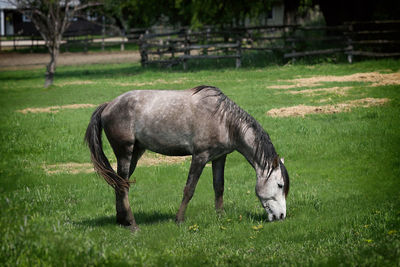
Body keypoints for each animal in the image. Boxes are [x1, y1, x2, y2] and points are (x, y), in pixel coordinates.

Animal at [85, 86, 290, 232]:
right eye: (280, 185)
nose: (281, 216)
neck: (223, 120)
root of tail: (108, 105)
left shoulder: (219, 158)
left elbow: (219, 187)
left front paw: (220, 216)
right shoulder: (199, 157)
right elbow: (189, 189)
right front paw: (179, 220)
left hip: (135, 152)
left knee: (120, 184)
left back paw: (122, 221)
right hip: (125, 153)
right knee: (123, 185)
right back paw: (133, 224)